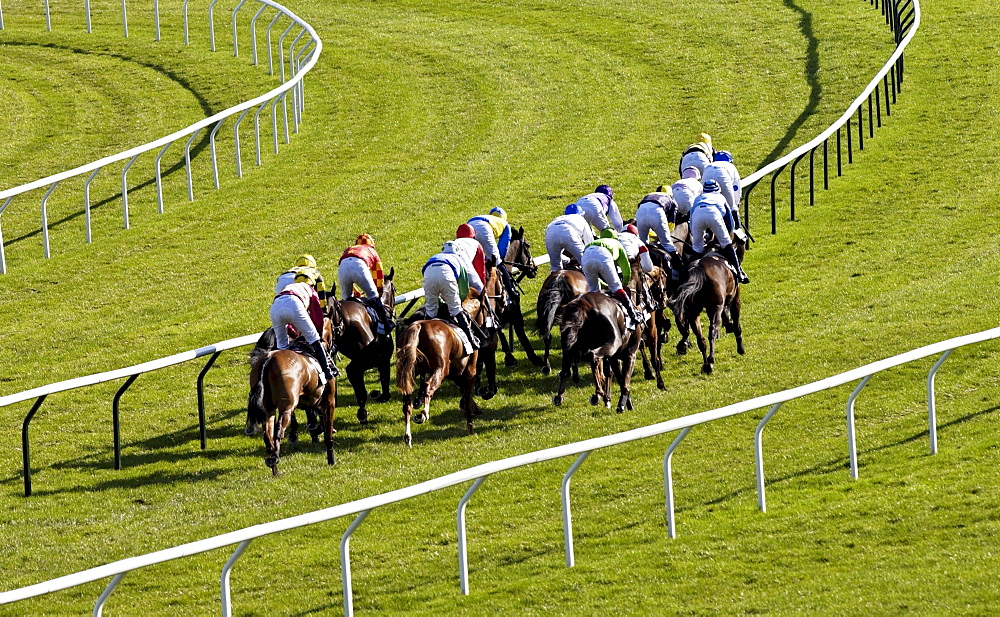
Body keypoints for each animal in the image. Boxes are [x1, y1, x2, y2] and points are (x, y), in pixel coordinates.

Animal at [246, 320, 336, 474]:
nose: (334, 348)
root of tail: (268, 359)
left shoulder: (311, 401)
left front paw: (313, 429)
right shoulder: (329, 402)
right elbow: (327, 433)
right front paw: (331, 459)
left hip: (268, 409)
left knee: (268, 436)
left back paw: (274, 468)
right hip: (286, 406)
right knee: (278, 431)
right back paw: (275, 458)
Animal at [336, 268, 398, 426]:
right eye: (394, 288)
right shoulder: (382, 359)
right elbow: (385, 383)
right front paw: (378, 395)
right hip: (364, 358)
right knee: (352, 371)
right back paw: (363, 410)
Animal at [396, 296, 482, 446]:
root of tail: (418, 326)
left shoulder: (455, 374)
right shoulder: (469, 370)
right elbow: (466, 395)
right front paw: (470, 428)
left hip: (408, 372)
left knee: (407, 403)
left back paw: (408, 437)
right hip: (440, 369)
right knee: (428, 387)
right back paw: (424, 414)